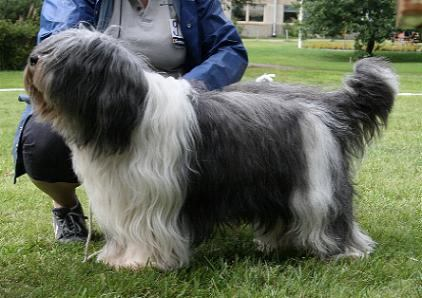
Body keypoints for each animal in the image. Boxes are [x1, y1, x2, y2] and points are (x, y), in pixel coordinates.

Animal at [24, 28, 398, 270]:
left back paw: (347, 251)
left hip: (315, 185)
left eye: (64, 57)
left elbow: (147, 233)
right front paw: (117, 259)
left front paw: (143, 263)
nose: (32, 58)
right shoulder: (123, 195)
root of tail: (325, 104)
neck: (128, 116)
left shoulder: (152, 199)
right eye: (50, 43)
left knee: (331, 218)